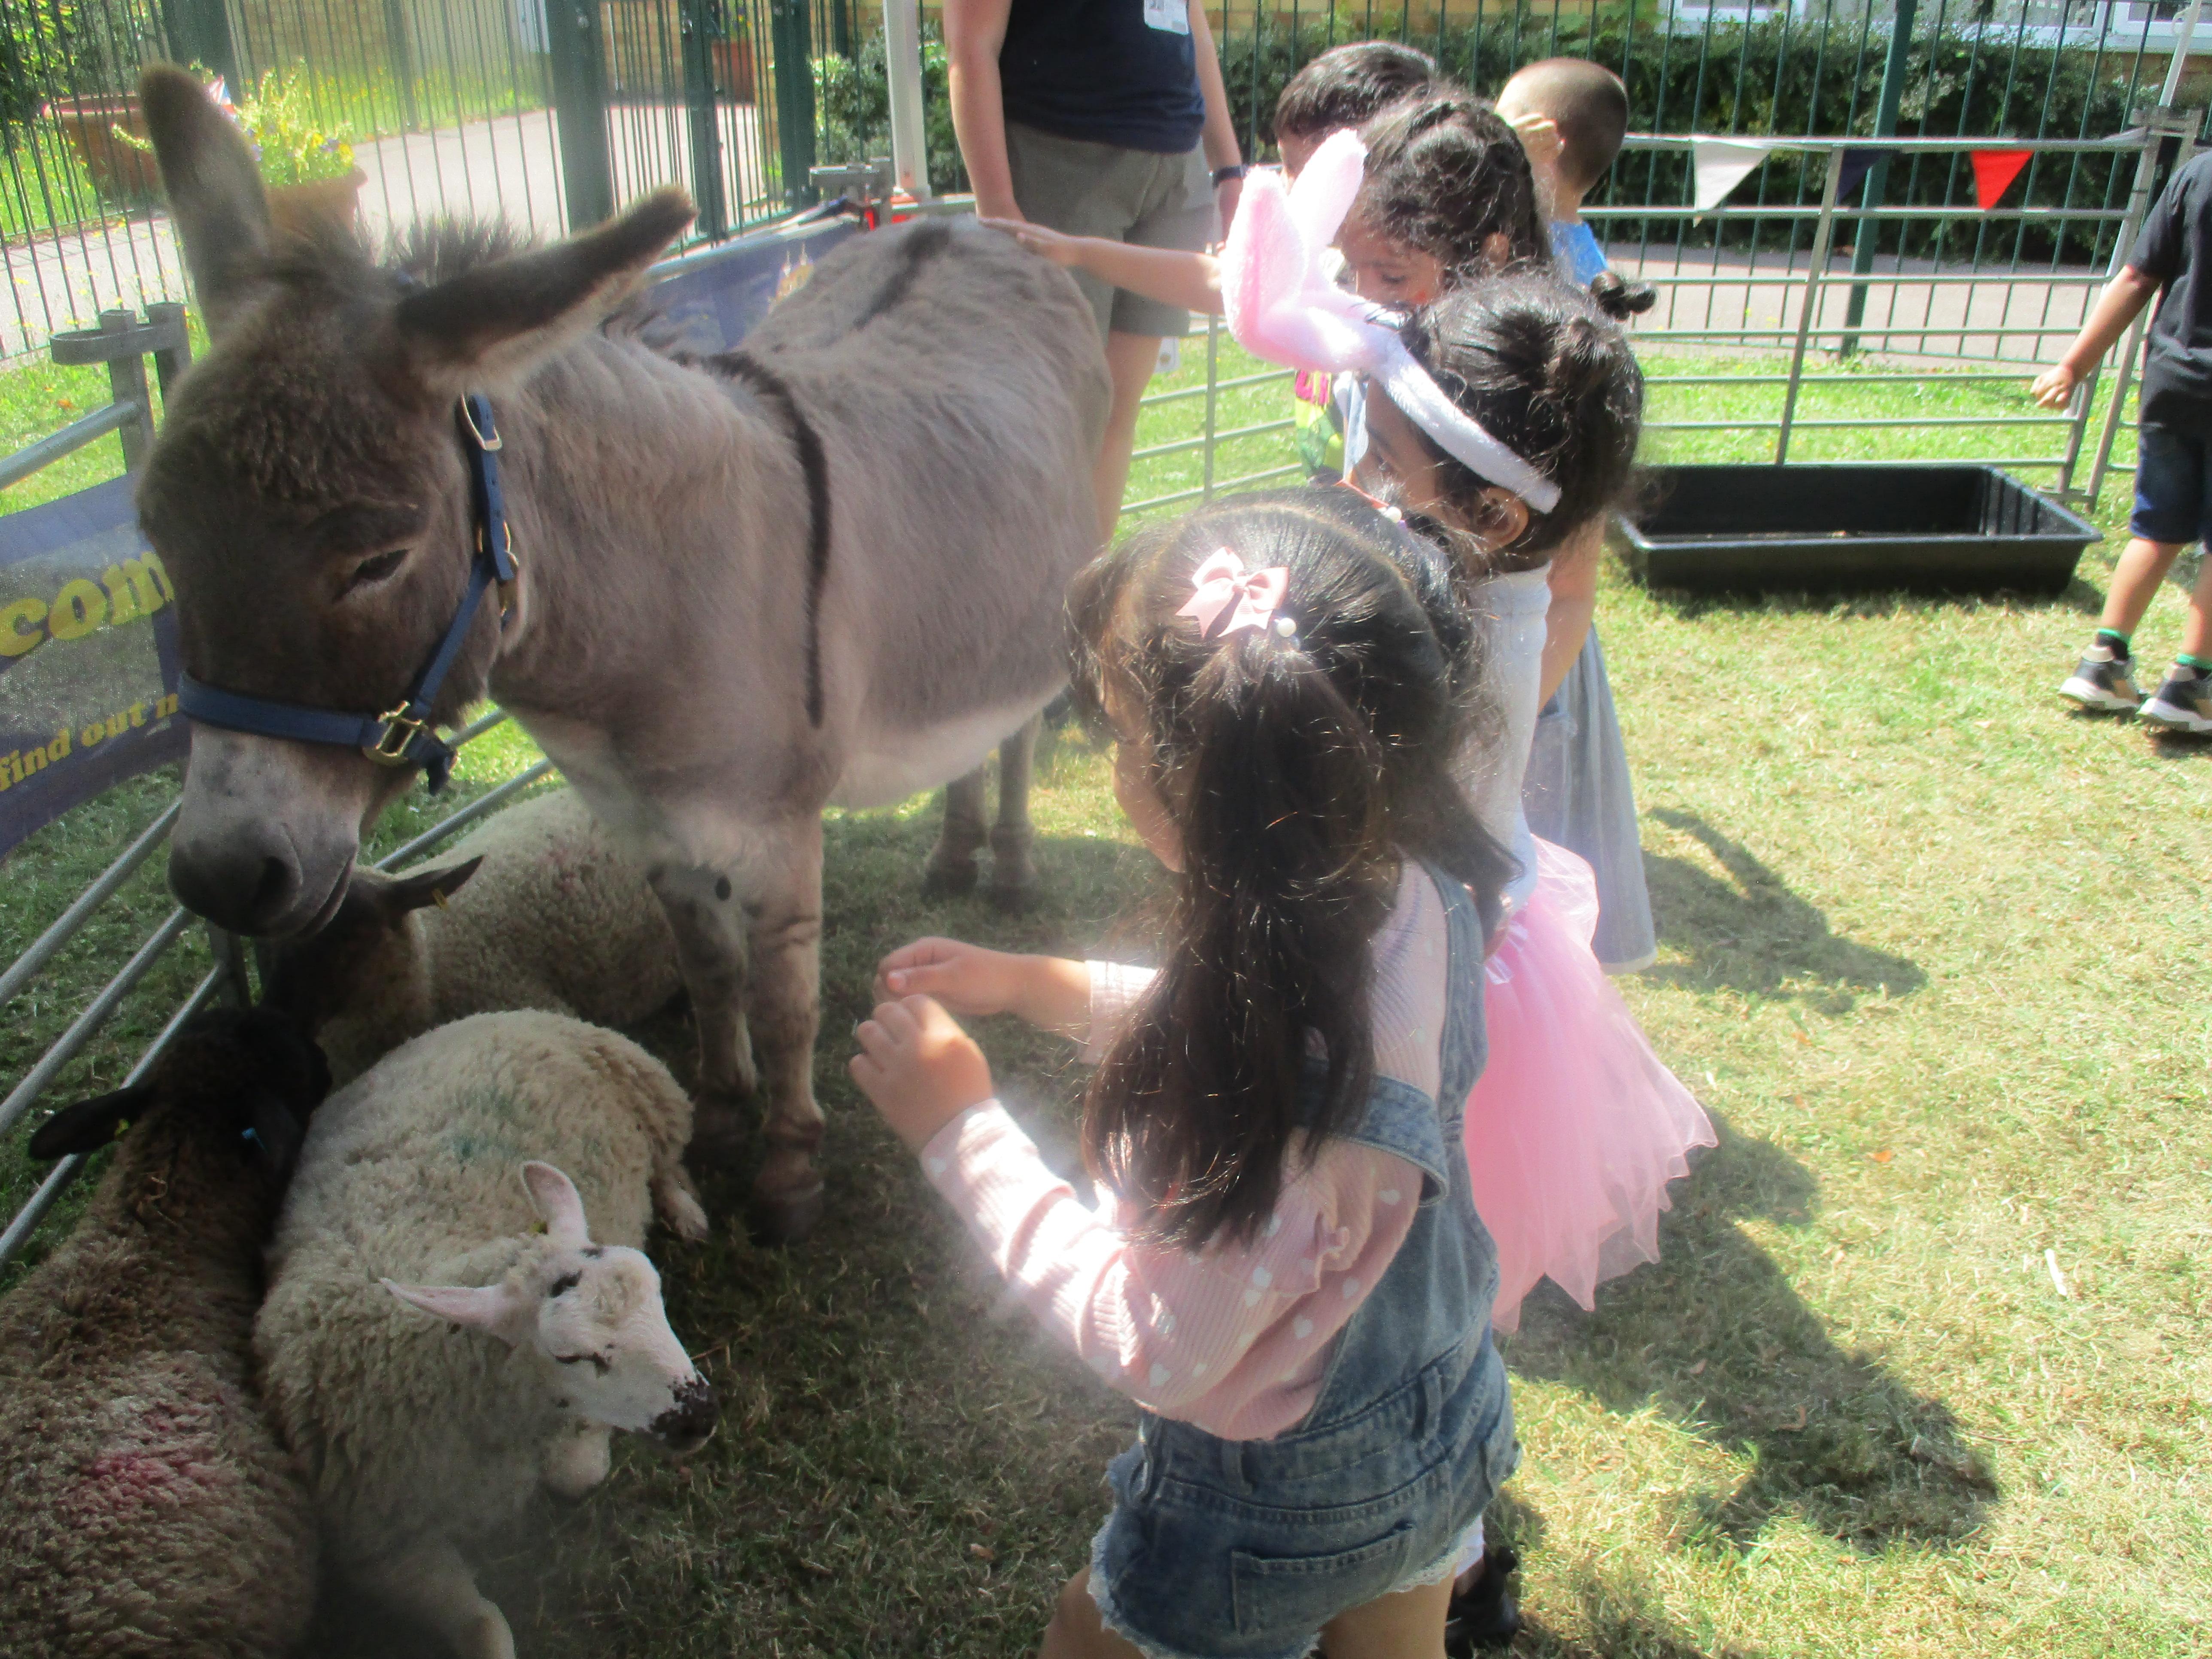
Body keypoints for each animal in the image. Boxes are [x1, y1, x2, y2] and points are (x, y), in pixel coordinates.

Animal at [253, 1010, 716, 1659]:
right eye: (569, 1355)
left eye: (659, 1293)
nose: (701, 1414)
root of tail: (496, 1018)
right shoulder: (379, 1540)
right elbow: (484, 1623)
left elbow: (575, 1475)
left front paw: (580, 1451)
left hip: (655, 1094)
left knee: (669, 1160)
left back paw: (685, 1210)